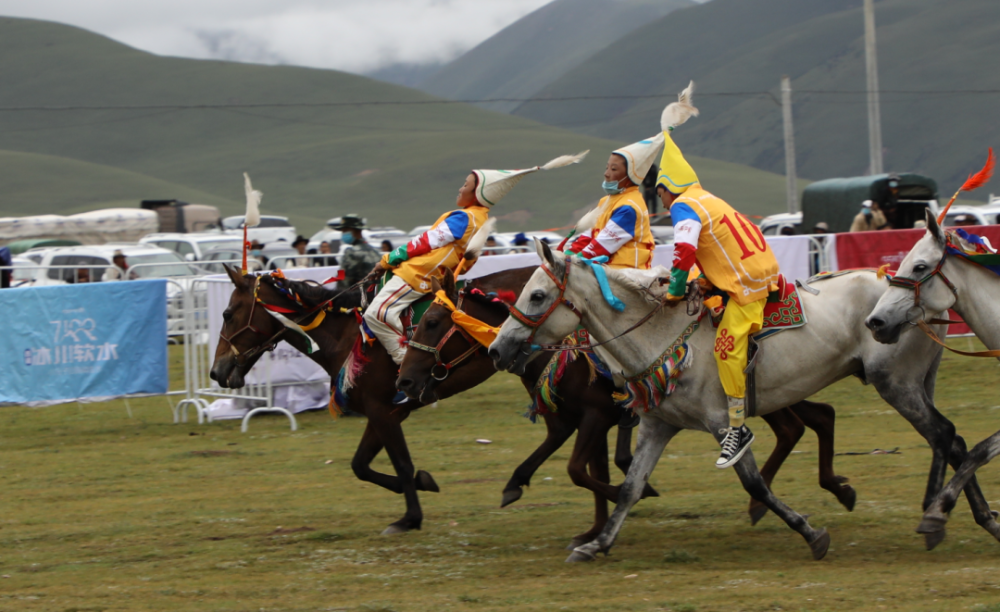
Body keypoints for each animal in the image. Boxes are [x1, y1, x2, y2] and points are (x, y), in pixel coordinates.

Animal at [398, 266, 860, 536]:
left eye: (433, 321)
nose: (405, 378)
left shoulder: (596, 415)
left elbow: (579, 470)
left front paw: (625, 500)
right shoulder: (573, 420)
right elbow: (570, 464)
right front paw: (593, 523)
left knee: (805, 422)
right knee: (815, 418)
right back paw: (823, 492)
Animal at [490, 237, 992, 560]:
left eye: (537, 296)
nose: (497, 349)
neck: (663, 335)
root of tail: (919, 300)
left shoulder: (722, 424)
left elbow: (755, 484)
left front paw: (811, 533)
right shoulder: (658, 425)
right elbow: (631, 486)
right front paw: (598, 543)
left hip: (897, 384)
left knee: (945, 435)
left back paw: (946, 517)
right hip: (911, 385)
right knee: (951, 442)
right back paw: (965, 517)